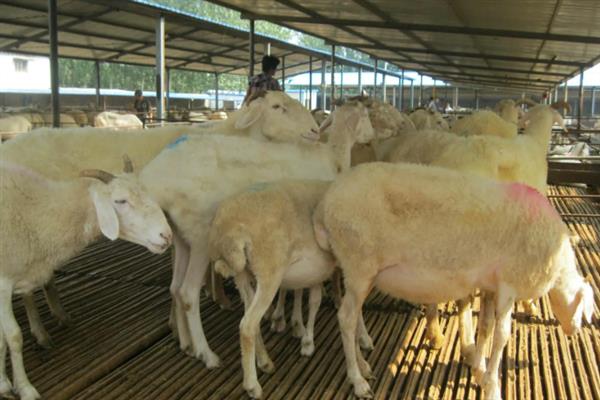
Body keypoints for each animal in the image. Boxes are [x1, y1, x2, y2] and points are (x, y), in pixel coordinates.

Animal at [0, 157, 171, 400]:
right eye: (120, 200)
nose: (167, 235)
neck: (37, 213)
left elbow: (2, 339)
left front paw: (3, 383)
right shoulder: (3, 283)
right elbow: (13, 337)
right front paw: (23, 388)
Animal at [140, 99, 372, 366]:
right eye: (367, 116)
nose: (372, 137)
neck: (333, 157)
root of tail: (156, 178)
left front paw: (285, 320)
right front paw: (297, 326)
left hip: (181, 237)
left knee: (175, 288)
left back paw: (186, 343)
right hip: (199, 237)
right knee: (188, 293)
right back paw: (206, 353)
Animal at [314, 162, 596, 400]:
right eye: (584, 308)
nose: (575, 331)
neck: (556, 262)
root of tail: (324, 204)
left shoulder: (491, 286)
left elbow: (485, 327)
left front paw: (479, 370)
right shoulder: (509, 285)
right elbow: (502, 335)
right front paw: (493, 387)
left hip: (358, 270)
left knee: (353, 314)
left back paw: (364, 362)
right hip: (359, 262)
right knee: (346, 318)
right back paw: (358, 381)